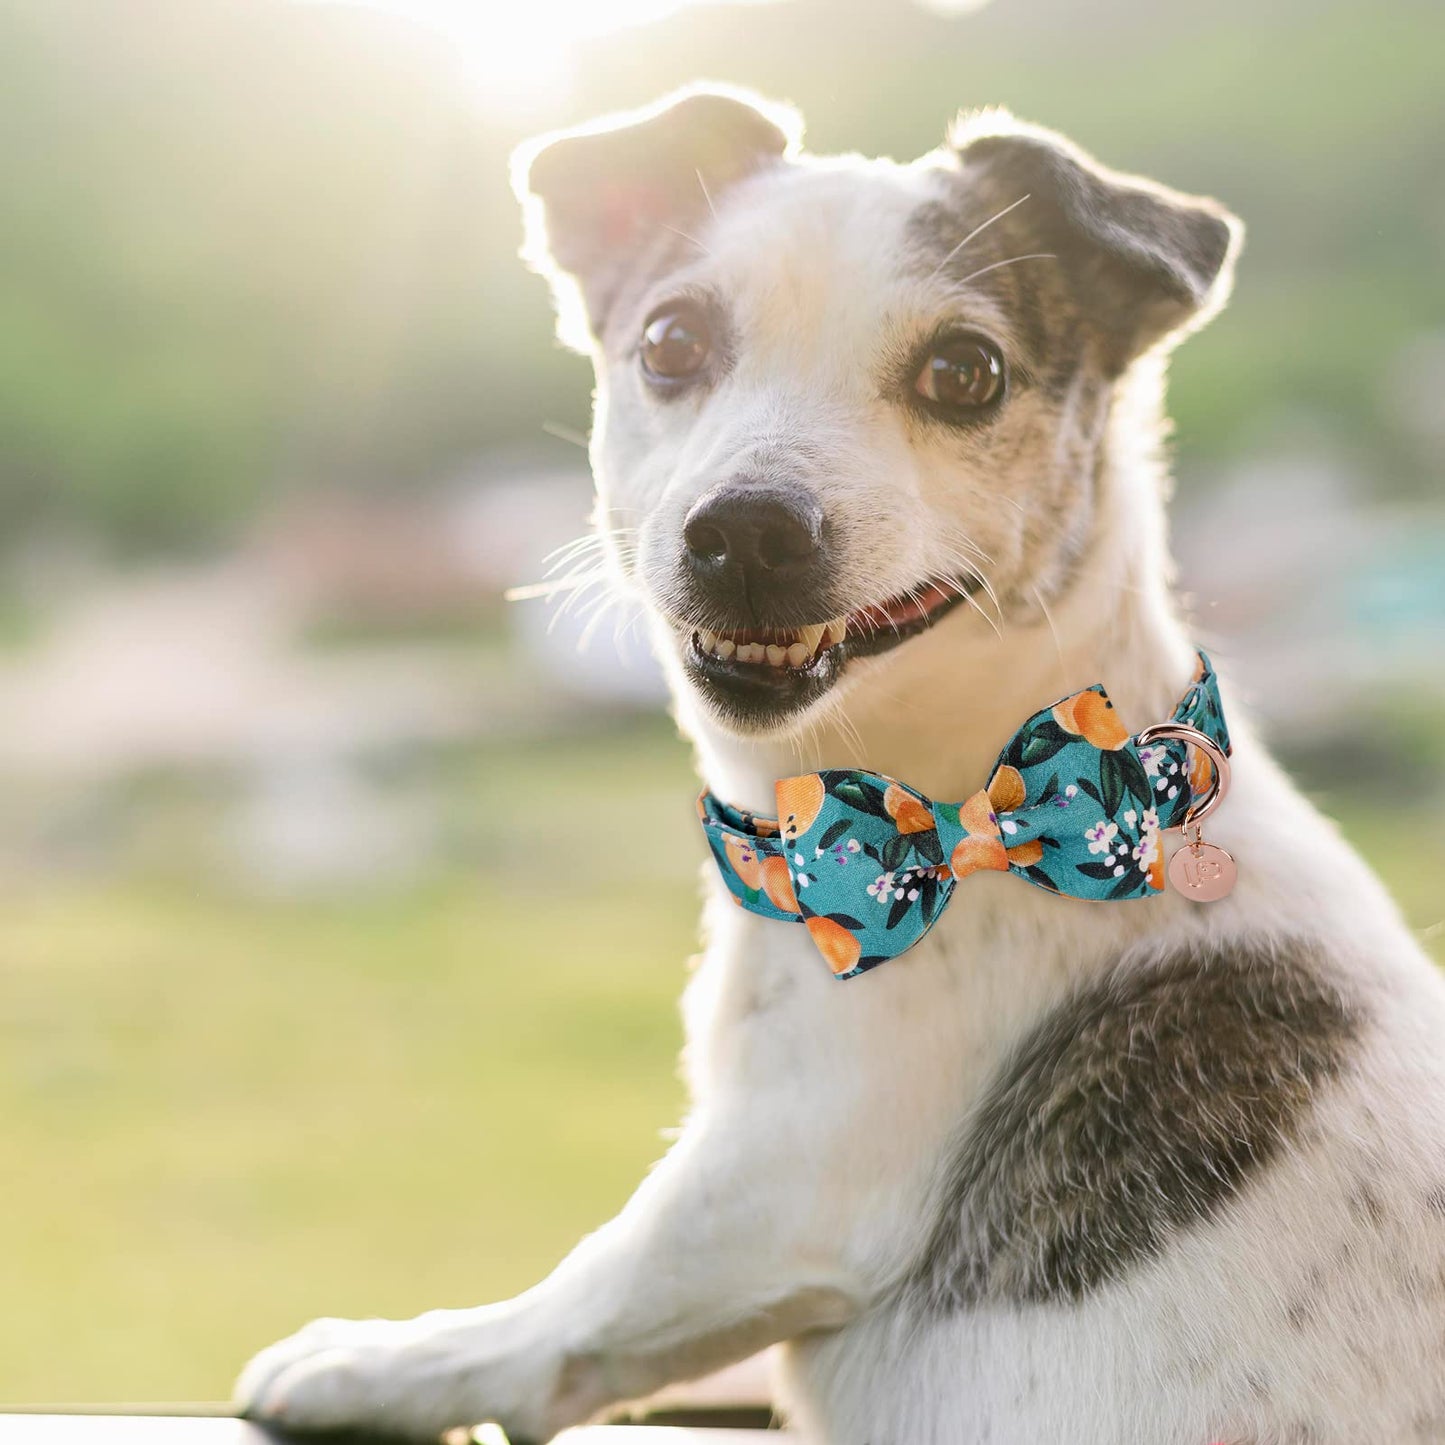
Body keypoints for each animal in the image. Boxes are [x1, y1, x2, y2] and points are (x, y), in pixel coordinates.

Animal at [234, 84, 1445, 1439]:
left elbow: (578, 1300)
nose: (745, 531)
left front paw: (381, 1357)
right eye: (668, 342)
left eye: (964, 371)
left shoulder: (773, 1177)